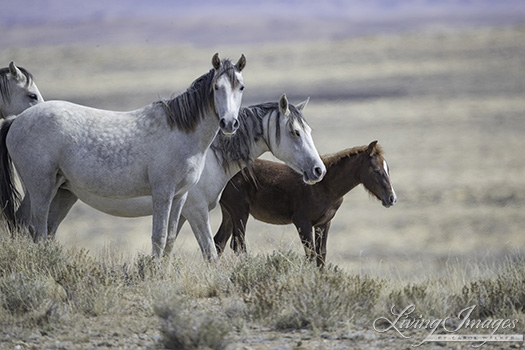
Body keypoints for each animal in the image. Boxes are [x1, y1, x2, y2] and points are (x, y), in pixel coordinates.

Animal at [0, 53, 246, 258]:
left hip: (56, 189)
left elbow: (169, 240)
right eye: (216, 87)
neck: (181, 132)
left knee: (27, 225)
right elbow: (159, 238)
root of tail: (16, 120)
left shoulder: (180, 196)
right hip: (40, 187)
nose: (229, 124)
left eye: (241, 87)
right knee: (37, 230)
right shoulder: (163, 193)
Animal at [42, 93, 324, 260]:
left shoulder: (180, 212)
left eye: (309, 130)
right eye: (295, 132)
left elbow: (168, 245)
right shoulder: (196, 211)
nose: (319, 170)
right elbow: (208, 251)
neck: (208, 155)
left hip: (63, 195)